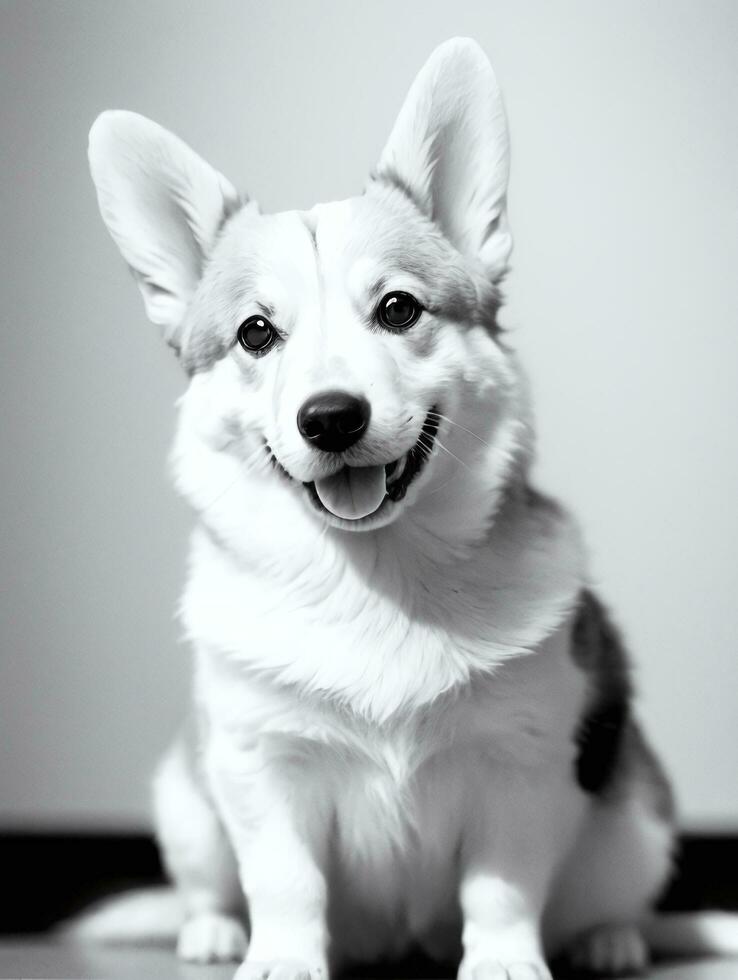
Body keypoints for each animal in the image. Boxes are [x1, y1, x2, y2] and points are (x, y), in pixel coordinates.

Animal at [82, 38, 736, 980]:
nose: (330, 417)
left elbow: (500, 889)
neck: (375, 577)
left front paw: (505, 961)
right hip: (187, 803)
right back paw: (212, 931)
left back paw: (606, 940)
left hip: (636, 821)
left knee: (610, 900)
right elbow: (285, 883)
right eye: (254, 333)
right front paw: (281, 957)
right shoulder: (260, 766)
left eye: (398, 309)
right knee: (211, 885)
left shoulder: (519, 768)